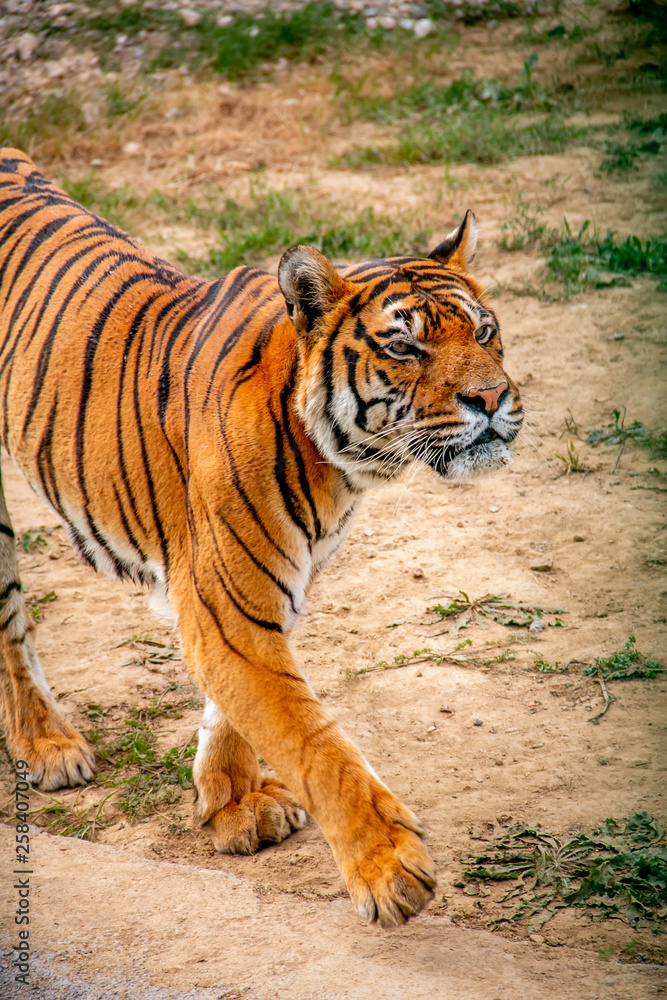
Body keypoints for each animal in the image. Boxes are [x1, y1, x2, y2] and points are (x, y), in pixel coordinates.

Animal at [0, 147, 523, 927]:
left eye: (483, 332)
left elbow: (236, 712)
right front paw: (387, 867)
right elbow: (311, 740)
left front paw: (232, 804)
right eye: (405, 346)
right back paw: (49, 746)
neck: (340, 464)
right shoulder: (226, 606)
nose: (490, 398)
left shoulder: (269, 592)